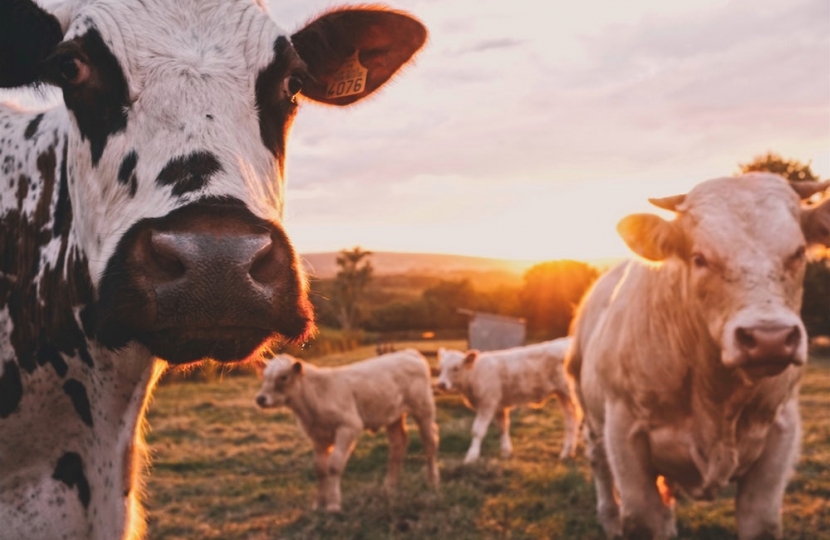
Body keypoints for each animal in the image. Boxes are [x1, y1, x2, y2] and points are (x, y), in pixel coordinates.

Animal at [255, 352, 442, 512]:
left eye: (283, 377)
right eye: (264, 376)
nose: (260, 399)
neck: (315, 396)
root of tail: (409, 353)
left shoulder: (349, 426)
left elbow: (334, 465)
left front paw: (333, 504)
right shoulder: (317, 436)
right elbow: (320, 469)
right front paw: (318, 503)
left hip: (424, 409)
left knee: (429, 442)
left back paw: (432, 481)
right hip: (392, 415)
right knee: (398, 444)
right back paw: (389, 486)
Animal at [438, 340, 580, 462]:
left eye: (456, 368)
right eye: (441, 367)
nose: (441, 384)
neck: (475, 374)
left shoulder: (487, 403)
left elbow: (477, 431)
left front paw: (471, 456)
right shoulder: (499, 405)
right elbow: (503, 428)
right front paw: (506, 452)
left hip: (570, 393)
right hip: (562, 394)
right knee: (571, 419)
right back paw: (567, 452)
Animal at [568, 174, 830, 540]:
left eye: (799, 252)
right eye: (699, 257)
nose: (770, 339)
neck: (716, 397)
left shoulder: (781, 431)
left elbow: (761, 522)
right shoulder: (624, 433)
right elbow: (640, 518)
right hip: (590, 412)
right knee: (599, 463)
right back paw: (609, 518)